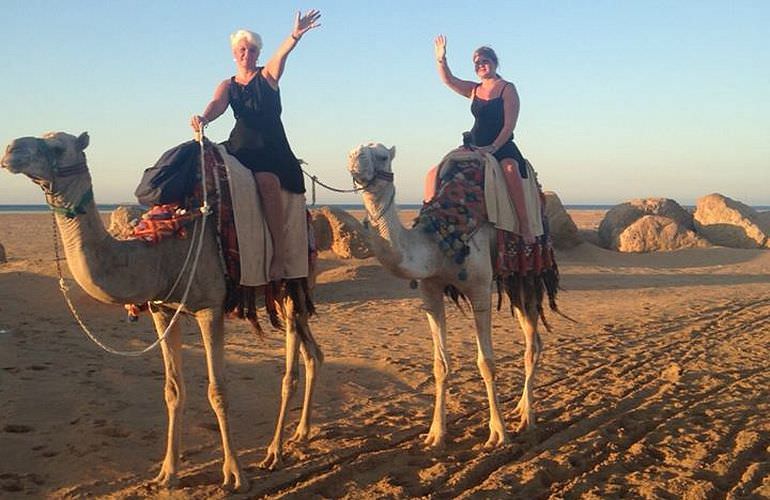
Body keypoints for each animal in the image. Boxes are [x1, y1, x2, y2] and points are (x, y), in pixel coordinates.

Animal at [1, 131, 322, 490]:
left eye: (57, 147)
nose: (11, 150)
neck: (160, 252)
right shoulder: (162, 311)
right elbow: (173, 390)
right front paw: (167, 474)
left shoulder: (210, 308)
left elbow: (217, 391)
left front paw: (235, 475)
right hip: (283, 293)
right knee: (313, 353)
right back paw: (300, 433)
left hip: (294, 281)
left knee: (290, 369)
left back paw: (274, 452)